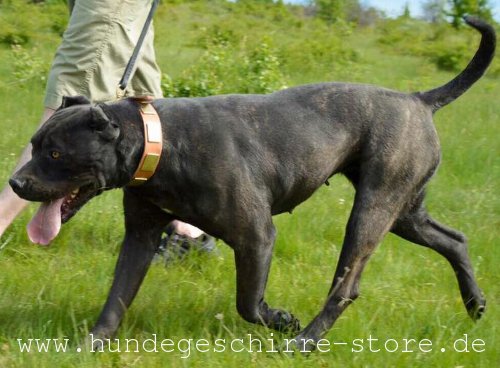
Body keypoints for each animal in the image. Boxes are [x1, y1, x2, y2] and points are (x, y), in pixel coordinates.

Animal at [9, 17, 494, 350]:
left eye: (56, 154)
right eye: (34, 145)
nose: (15, 183)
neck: (159, 142)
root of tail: (419, 100)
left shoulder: (256, 236)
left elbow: (248, 302)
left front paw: (281, 320)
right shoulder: (141, 237)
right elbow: (116, 299)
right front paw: (89, 346)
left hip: (372, 212)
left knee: (345, 286)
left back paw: (304, 342)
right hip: (405, 212)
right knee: (454, 240)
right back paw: (475, 305)